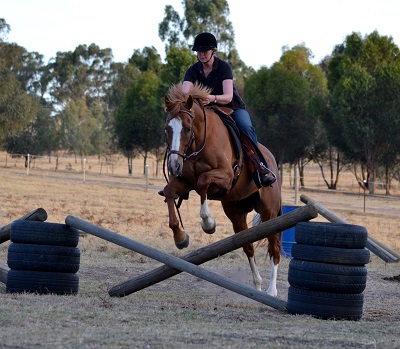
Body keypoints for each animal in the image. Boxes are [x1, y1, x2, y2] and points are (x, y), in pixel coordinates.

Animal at [159, 83, 282, 294]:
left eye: (188, 128)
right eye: (167, 129)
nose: (173, 166)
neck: (199, 142)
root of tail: (271, 160)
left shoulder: (226, 176)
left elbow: (203, 181)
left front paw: (208, 223)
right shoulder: (185, 182)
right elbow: (170, 192)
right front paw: (180, 237)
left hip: (269, 211)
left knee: (274, 247)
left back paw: (271, 291)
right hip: (236, 214)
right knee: (248, 246)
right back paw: (257, 285)